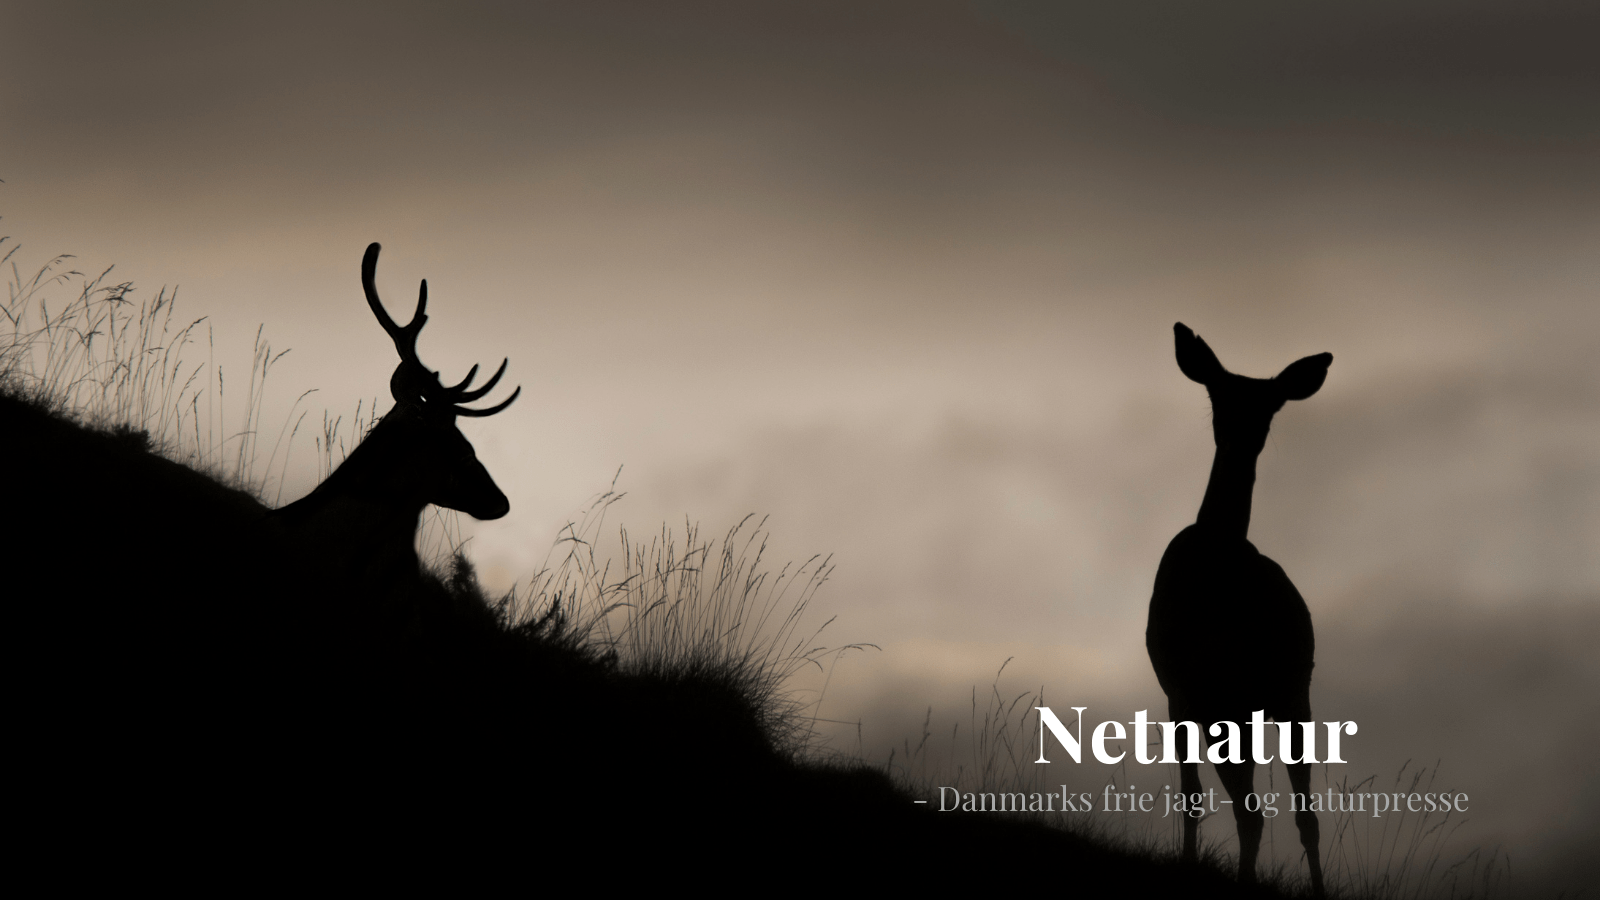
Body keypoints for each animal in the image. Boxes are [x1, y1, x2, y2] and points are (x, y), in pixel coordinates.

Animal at [1145, 322, 1332, 898]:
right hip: (1273, 698)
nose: (1239, 437)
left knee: (1269, 810)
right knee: (1294, 811)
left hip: (1267, 697)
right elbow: (1195, 796)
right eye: (1218, 396)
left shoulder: (1204, 692)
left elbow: (1216, 800)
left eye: (1270, 406)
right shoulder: (1188, 693)